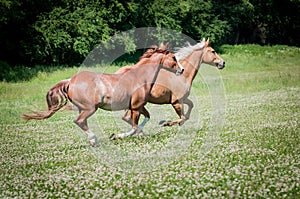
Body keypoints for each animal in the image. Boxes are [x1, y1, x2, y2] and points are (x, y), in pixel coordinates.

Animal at [22, 44, 182, 145]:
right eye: (174, 58)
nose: (182, 70)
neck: (140, 77)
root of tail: (70, 81)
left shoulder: (138, 106)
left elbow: (146, 118)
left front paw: (141, 134)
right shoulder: (136, 107)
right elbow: (134, 127)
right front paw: (116, 136)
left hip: (83, 108)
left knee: (82, 122)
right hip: (90, 108)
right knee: (79, 121)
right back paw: (94, 140)